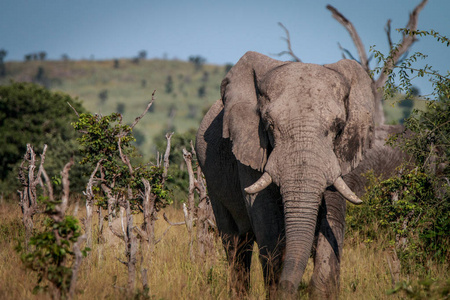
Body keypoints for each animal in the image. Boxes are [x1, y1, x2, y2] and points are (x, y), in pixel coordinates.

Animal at [195, 51, 382, 298]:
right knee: (235, 243)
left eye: (338, 126)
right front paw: (278, 291)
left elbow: (333, 215)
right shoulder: (250, 146)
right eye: (269, 125)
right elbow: (267, 219)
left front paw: (321, 292)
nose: (289, 287)